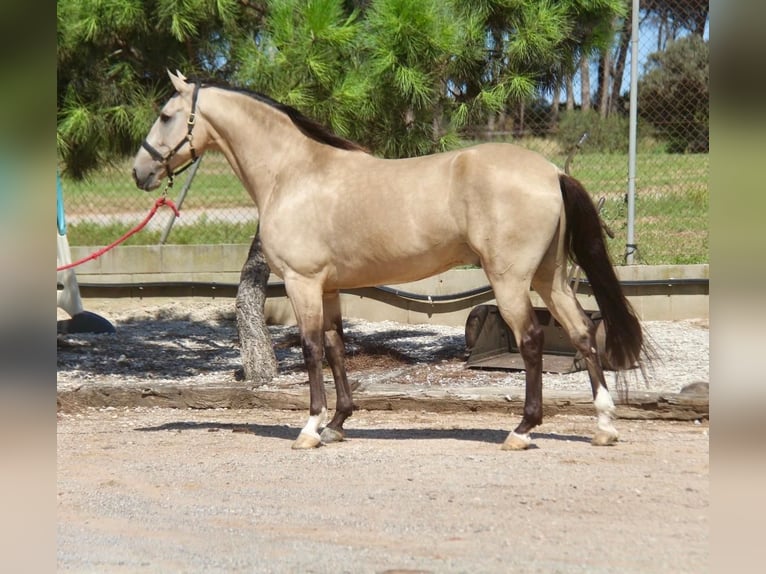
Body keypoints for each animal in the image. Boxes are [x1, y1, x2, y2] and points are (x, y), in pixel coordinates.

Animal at [134, 71, 648, 450]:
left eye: (165, 115)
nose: (139, 172)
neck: (295, 173)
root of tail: (552, 171)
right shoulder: (329, 287)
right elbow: (337, 348)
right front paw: (338, 423)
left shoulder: (303, 283)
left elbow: (312, 349)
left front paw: (310, 428)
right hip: (549, 278)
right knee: (582, 333)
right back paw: (604, 426)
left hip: (511, 281)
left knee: (533, 340)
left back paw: (521, 431)